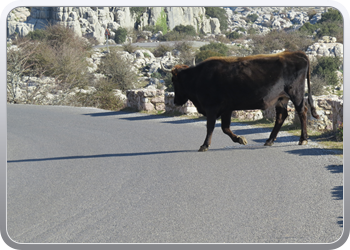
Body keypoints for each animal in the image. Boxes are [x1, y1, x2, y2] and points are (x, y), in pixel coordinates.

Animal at [161, 51, 320, 150]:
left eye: (173, 80)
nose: (176, 101)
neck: (198, 77)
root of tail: (296, 53)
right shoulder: (226, 109)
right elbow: (225, 128)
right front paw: (240, 139)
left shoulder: (212, 108)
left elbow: (211, 127)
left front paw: (205, 145)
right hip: (281, 98)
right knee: (281, 116)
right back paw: (269, 140)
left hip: (296, 94)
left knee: (302, 112)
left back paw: (303, 139)